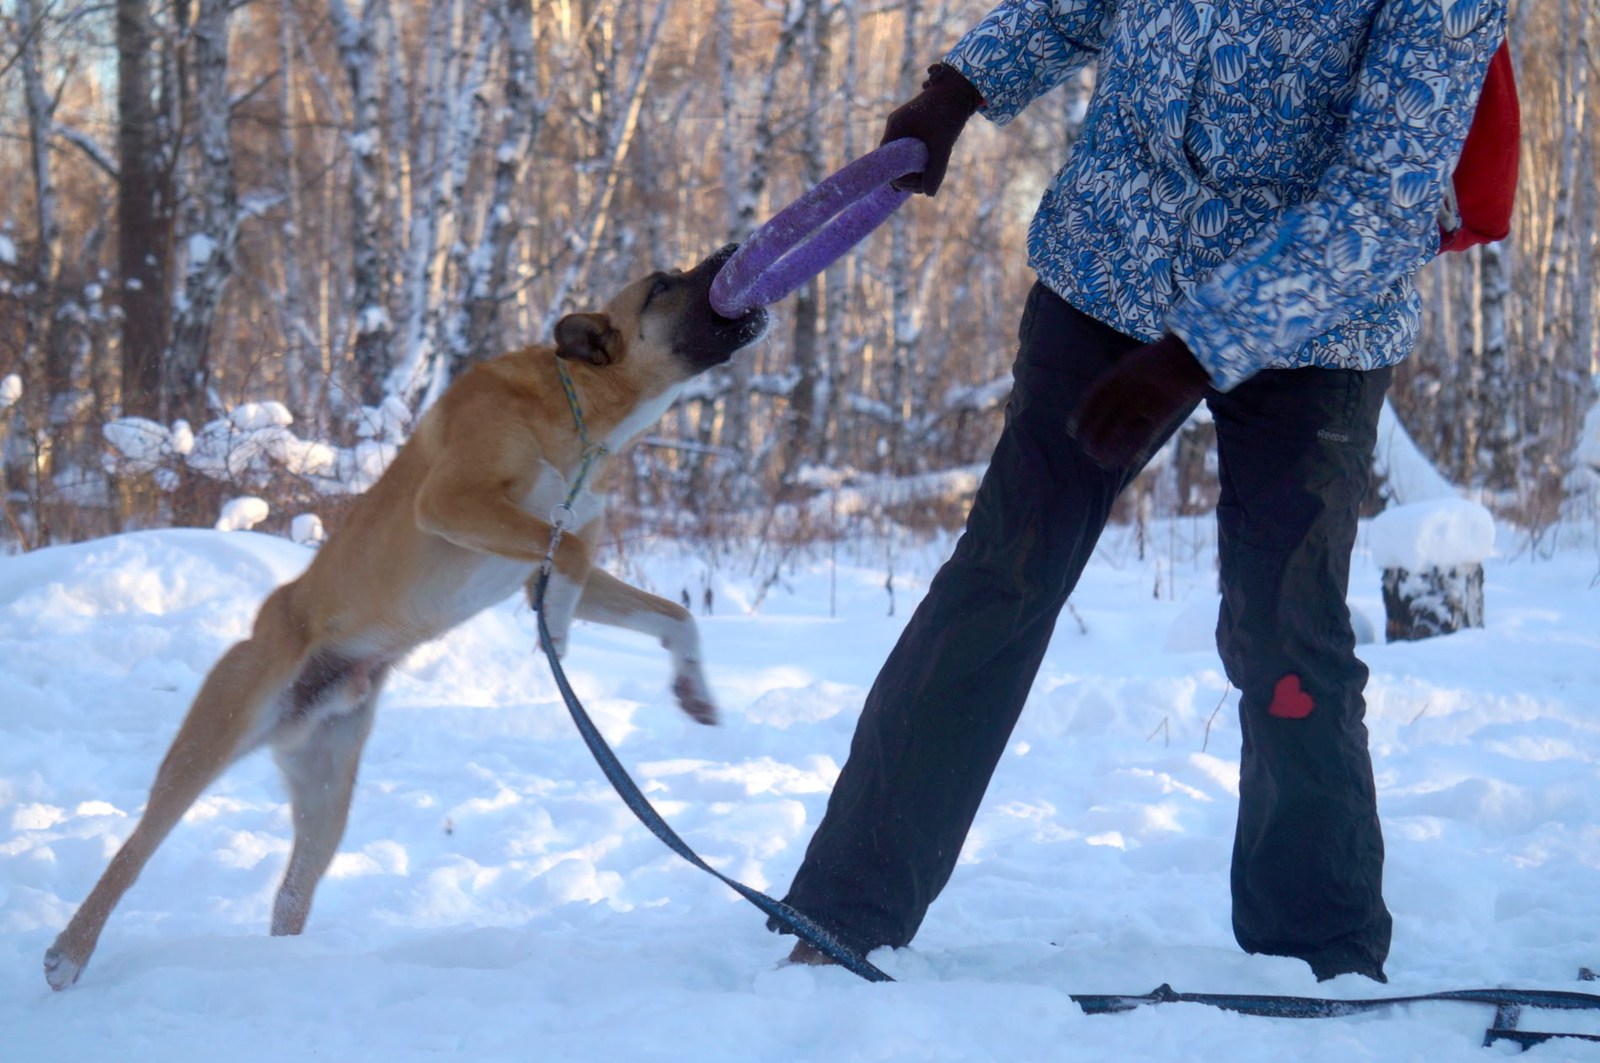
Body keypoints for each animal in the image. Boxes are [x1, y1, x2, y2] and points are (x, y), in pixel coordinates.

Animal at [46, 246, 771, 986]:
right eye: (661, 285)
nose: (728, 253)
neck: (582, 411)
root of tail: (299, 702)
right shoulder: (452, 501)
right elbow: (566, 549)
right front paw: (561, 627)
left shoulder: (542, 560)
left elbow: (670, 611)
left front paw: (692, 689)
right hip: (210, 741)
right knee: (134, 850)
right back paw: (69, 952)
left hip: (327, 795)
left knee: (291, 894)